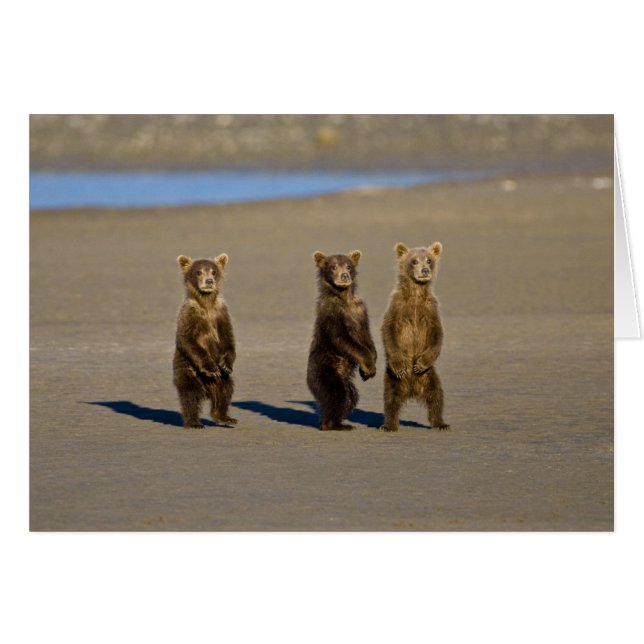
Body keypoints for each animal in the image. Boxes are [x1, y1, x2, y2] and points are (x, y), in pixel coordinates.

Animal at [173, 254, 237, 428]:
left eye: (213, 271)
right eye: (198, 272)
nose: (209, 281)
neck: (206, 304)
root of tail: (207, 389)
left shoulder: (221, 313)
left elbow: (228, 338)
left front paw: (226, 364)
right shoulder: (189, 315)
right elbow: (187, 340)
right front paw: (211, 368)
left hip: (222, 381)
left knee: (225, 390)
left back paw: (225, 417)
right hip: (188, 372)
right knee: (190, 396)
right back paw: (194, 422)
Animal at [307, 250, 378, 431]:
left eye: (348, 266)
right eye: (333, 267)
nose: (344, 276)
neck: (344, 298)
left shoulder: (359, 310)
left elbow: (367, 338)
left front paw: (368, 369)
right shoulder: (332, 314)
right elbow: (344, 340)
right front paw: (368, 366)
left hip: (345, 381)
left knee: (350, 397)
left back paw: (340, 421)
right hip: (324, 371)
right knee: (336, 396)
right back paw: (333, 424)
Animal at [380, 242, 449, 432]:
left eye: (429, 260)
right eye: (414, 261)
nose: (425, 270)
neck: (416, 293)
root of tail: (411, 390)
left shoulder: (430, 310)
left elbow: (438, 334)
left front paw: (420, 363)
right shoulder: (397, 306)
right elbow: (388, 329)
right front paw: (399, 364)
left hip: (429, 376)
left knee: (436, 396)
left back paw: (440, 423)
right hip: (393, 380)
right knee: (390, 400)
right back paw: (389, 425)